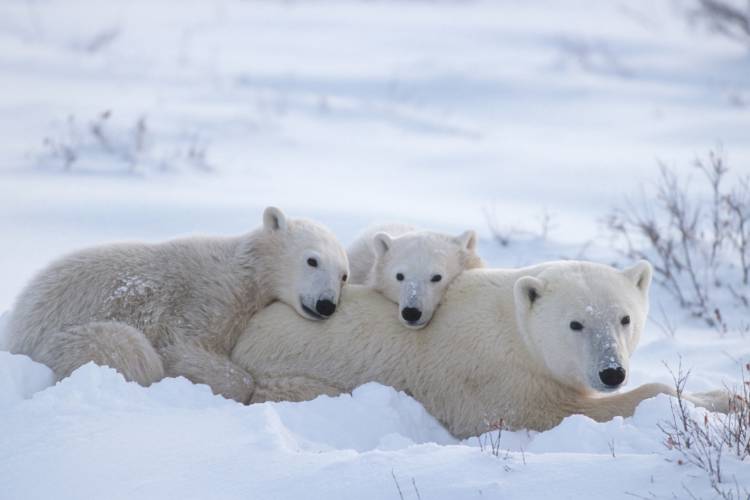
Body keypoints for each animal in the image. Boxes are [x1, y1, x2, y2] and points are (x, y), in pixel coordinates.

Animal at [6, 206, 349, 403]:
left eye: (344, 275)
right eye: (312, 260)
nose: (326, 304)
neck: (246, 272)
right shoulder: (204, 299)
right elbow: (182, 346)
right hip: (64, 335)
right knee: (125, 348)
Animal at [230, 260, 730, 437]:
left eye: (624, 318)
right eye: (576, 323)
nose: (612, 373)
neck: (515, 329)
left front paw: (725, 395)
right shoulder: (498, 381)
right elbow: (557, 412)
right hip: (290, 378)